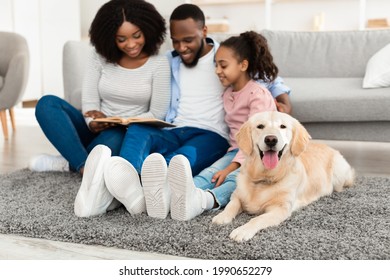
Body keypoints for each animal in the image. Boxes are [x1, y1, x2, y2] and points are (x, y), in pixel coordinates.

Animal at [212, 110, 354, 242]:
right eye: (260, 126)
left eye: (282, 126)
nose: (271, 139)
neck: (265, 177)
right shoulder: (237, 194)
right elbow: (231, 205)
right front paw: (222, 216)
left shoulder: (280, 209)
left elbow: (257, 219)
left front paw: (242, 230)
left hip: (338, 172)